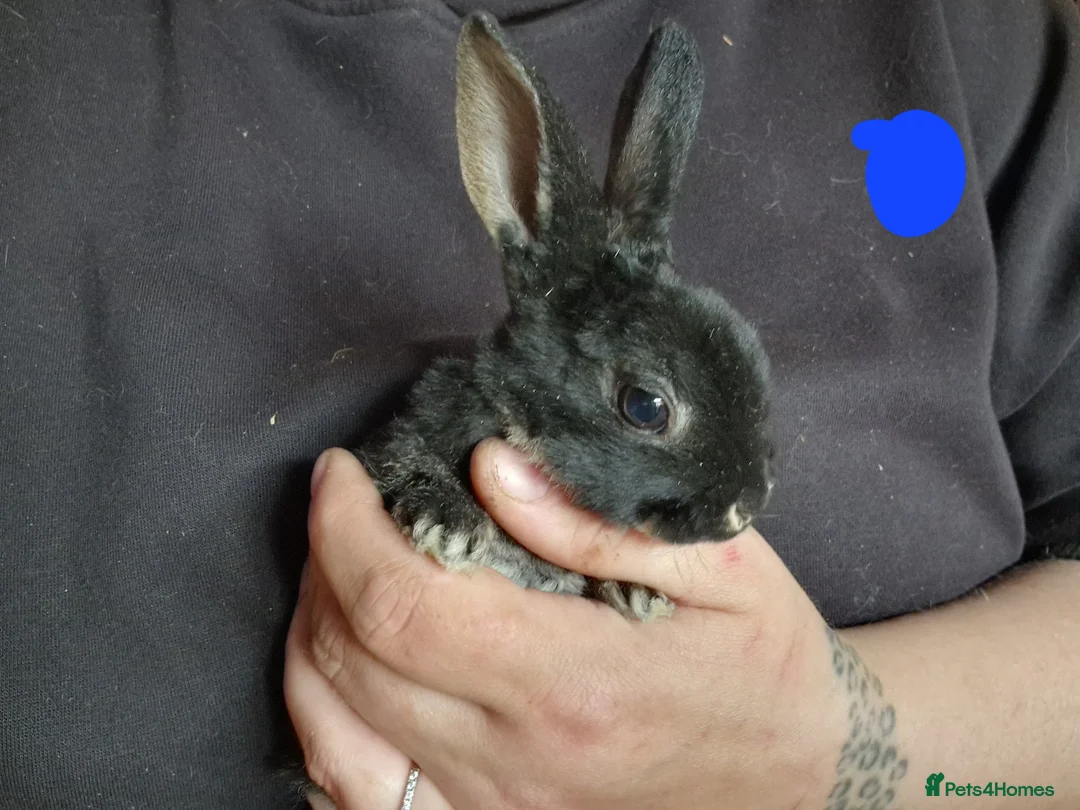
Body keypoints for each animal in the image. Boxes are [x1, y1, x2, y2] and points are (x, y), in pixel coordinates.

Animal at [290, 12, 775, 805]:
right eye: (646, 406)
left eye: (752, 346)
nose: (744, 507)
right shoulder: (397, 440)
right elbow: (407, 462)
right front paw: (449, 525)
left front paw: (638, 591)